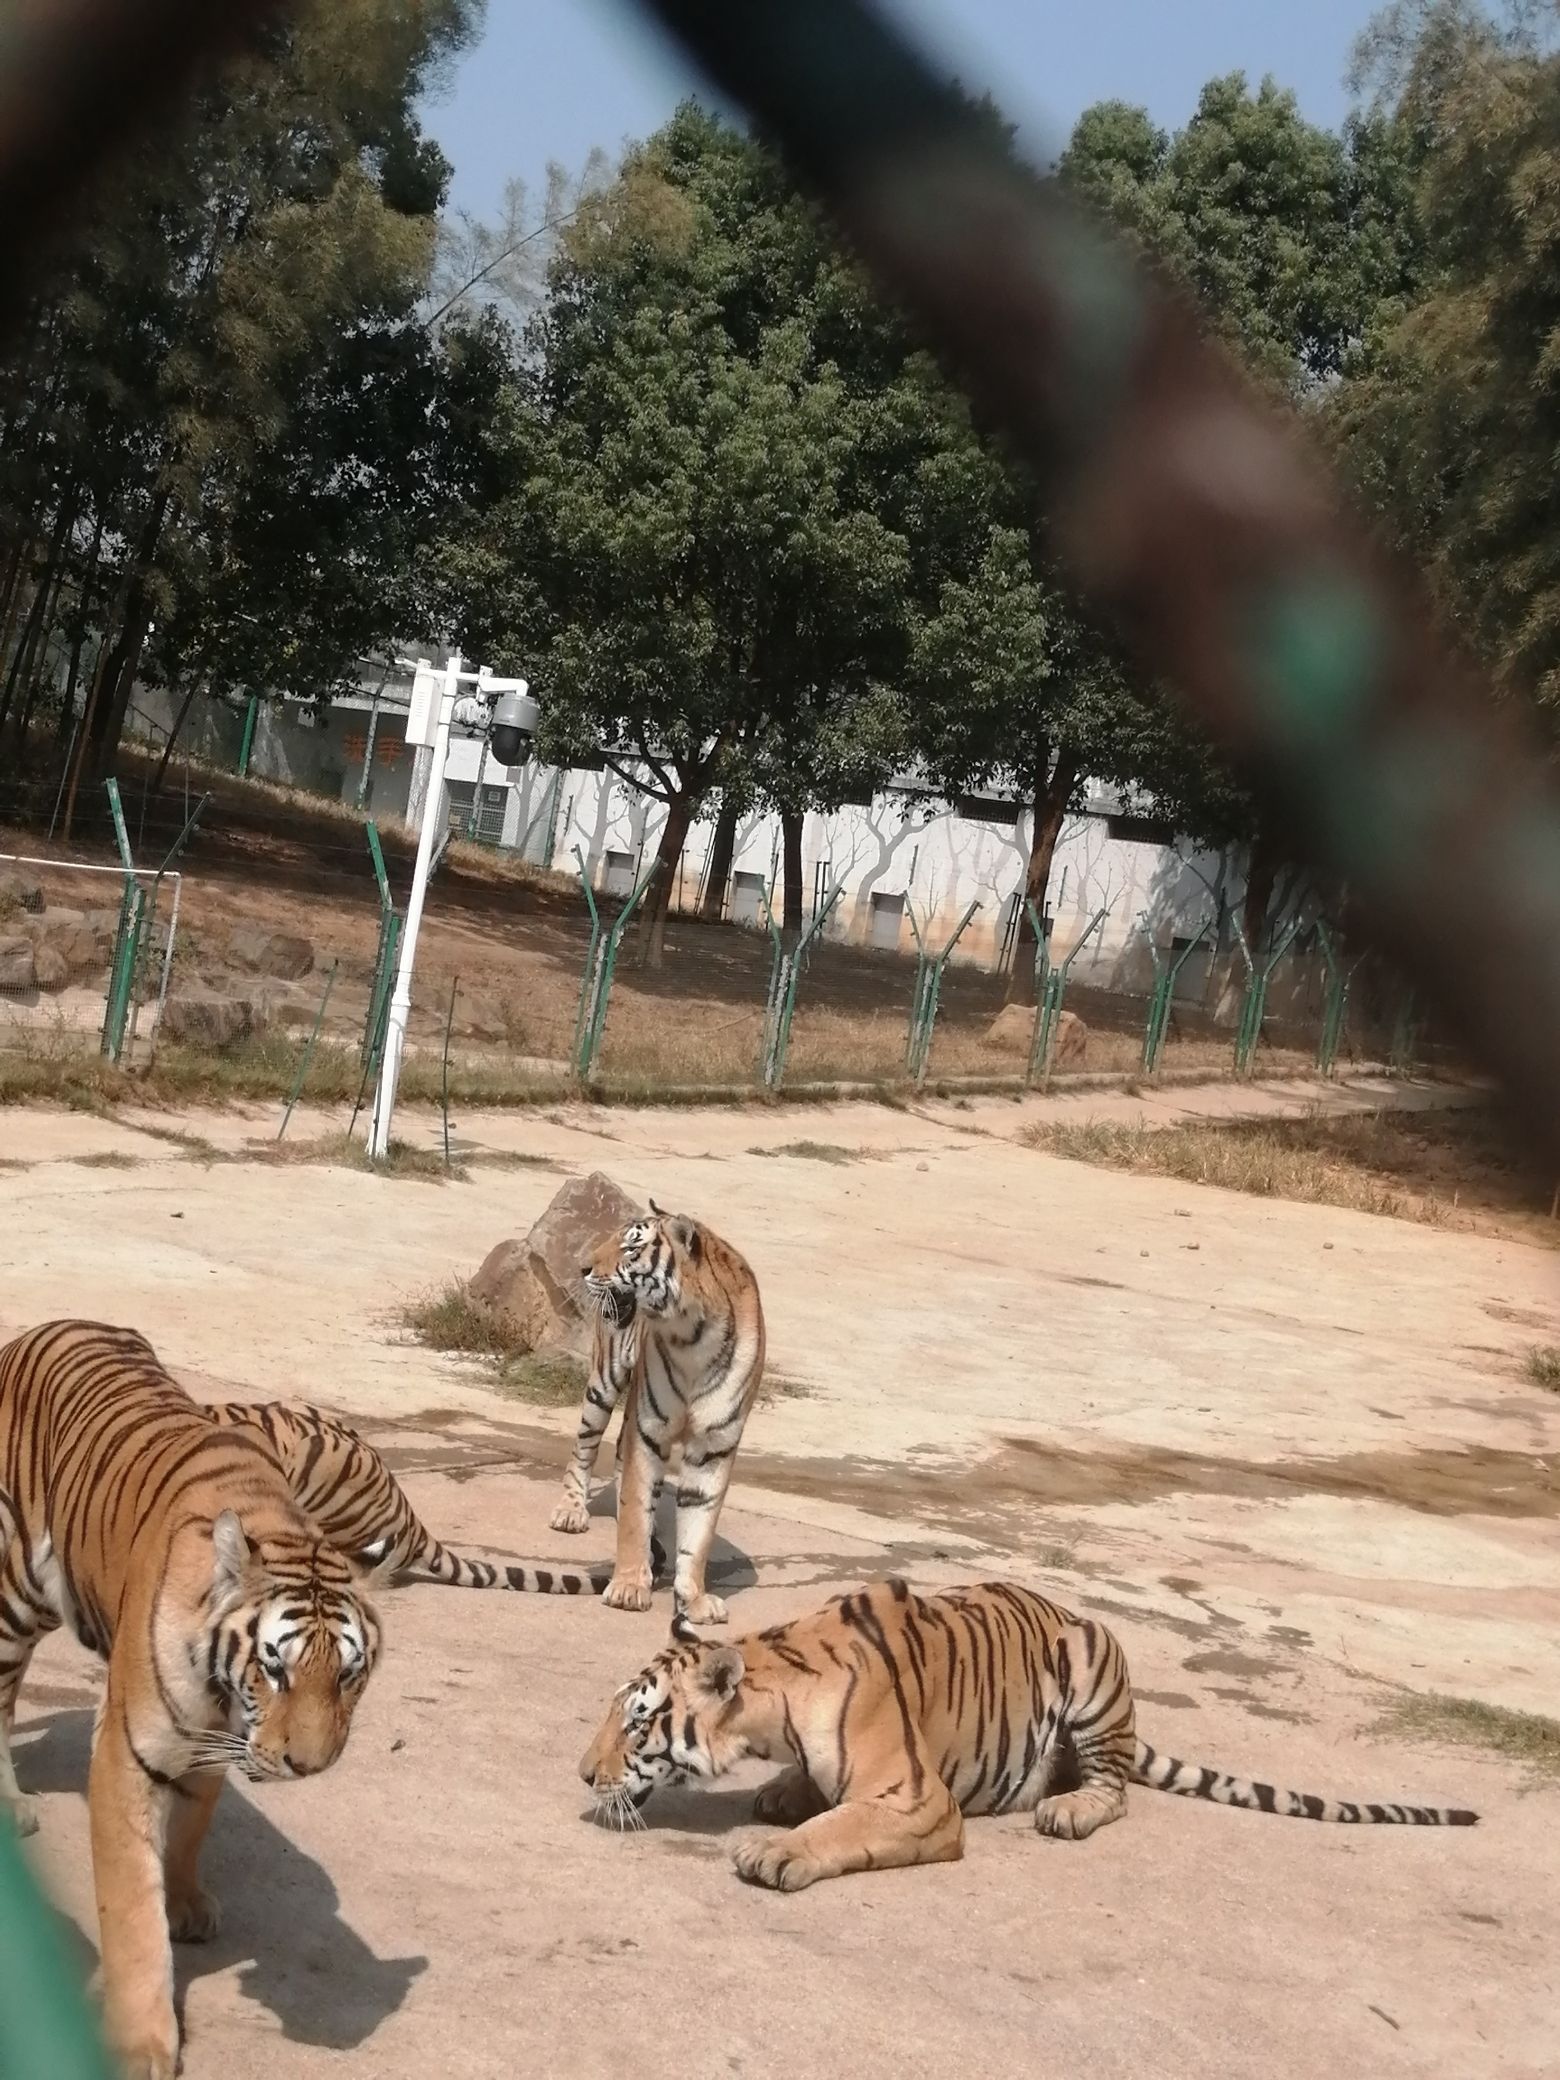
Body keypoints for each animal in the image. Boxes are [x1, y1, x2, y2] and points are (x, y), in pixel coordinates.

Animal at [0, 1320, 387, 2080]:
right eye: (276, 1667)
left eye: (348, 1674)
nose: (308, 1766)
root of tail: (41, 1328)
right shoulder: (129, 1751)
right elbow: (132, 1910)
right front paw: (143, 2043)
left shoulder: (215, 1737)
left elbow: (194, 1822)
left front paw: (188, 1903)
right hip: (13, 1595)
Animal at [550, 1198, 765, 1624]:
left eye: (631, 1247)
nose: (582, 1268)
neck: (693, 1335)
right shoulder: (648, 1431)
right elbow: (636, 1511)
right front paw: (629, 1588)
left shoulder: (713, 1447)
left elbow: (699, 1529)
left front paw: (694, 1599)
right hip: (604, 1381)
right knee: (585, 1447)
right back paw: (570, 1511)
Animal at [579, 1576, 1476, 1890]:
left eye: (638, 1721)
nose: (585, 1775)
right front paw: (779, 1795)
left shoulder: (918, 1801)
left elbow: (842, 1826)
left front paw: (775, 1850)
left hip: (1090, 1658)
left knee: (1112, 1787)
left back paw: (1068, 1808)